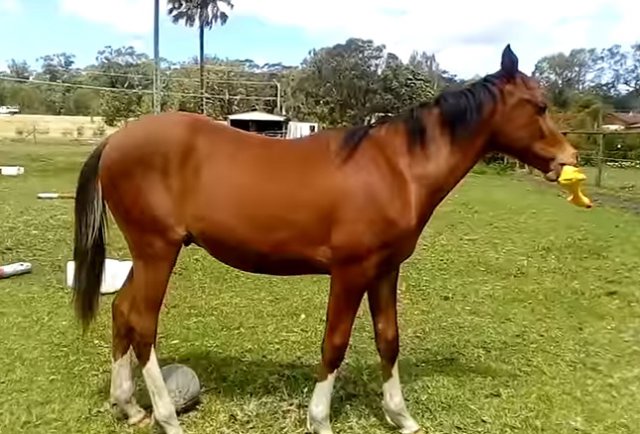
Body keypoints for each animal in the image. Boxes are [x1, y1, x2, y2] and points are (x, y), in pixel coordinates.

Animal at [71, 44, 577, 434]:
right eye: (539, 106)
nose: (568, 158)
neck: (396, 168)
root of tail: (115, 142)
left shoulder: (385, 270)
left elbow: (388, 339)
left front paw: (401, 416)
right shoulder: (350, 272)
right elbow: (334, 342)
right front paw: (320, 419)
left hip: (147, 254)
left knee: (122, 313)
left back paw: (129, 407)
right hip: (158, 250)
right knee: (143, 324)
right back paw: (166, 416)